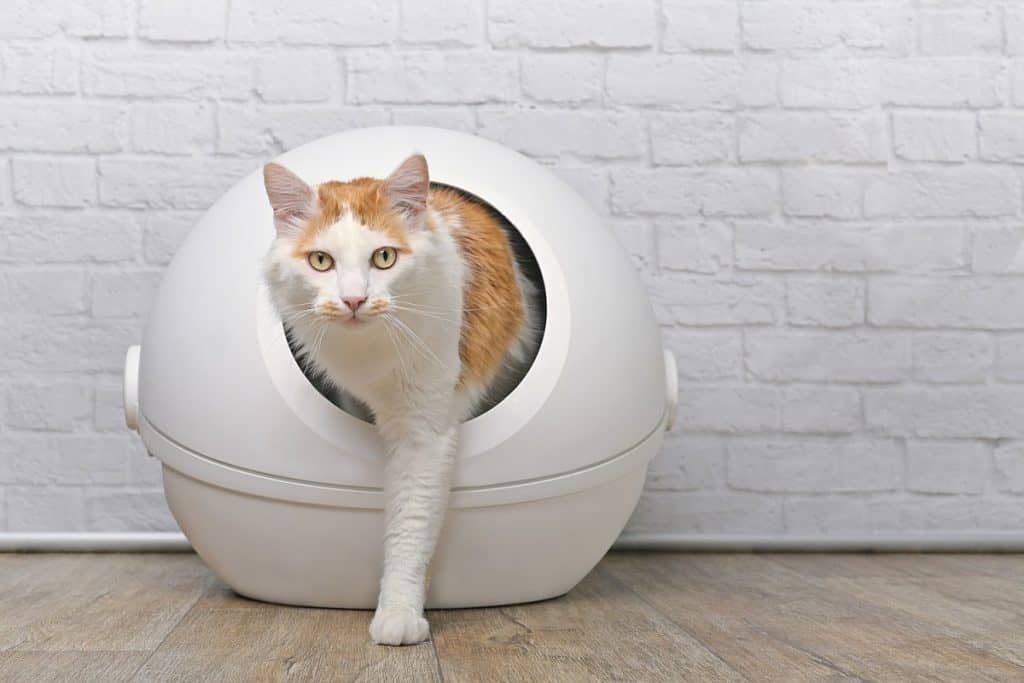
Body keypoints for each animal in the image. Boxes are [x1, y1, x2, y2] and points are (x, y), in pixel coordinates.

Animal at [262, 153, 544, 647]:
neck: (369, 355)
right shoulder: (351, 396)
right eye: (321, 261)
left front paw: (398, 616)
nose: (354, 300)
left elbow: (410, 524)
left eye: (384, 257)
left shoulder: (424, 433)